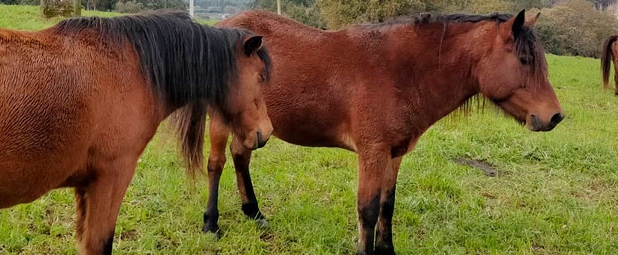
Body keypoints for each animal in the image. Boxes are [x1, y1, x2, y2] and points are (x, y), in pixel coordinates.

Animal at [207, 8, 564, 254]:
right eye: (524, 58)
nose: (555, 116)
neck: (399, 72)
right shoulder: (372, 153)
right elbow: (367, 210)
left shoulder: (394, 153)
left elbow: (386, 205)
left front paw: (387, 249)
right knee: (216, 164)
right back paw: (211, 224)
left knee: (240, 156)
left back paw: (254, 213)